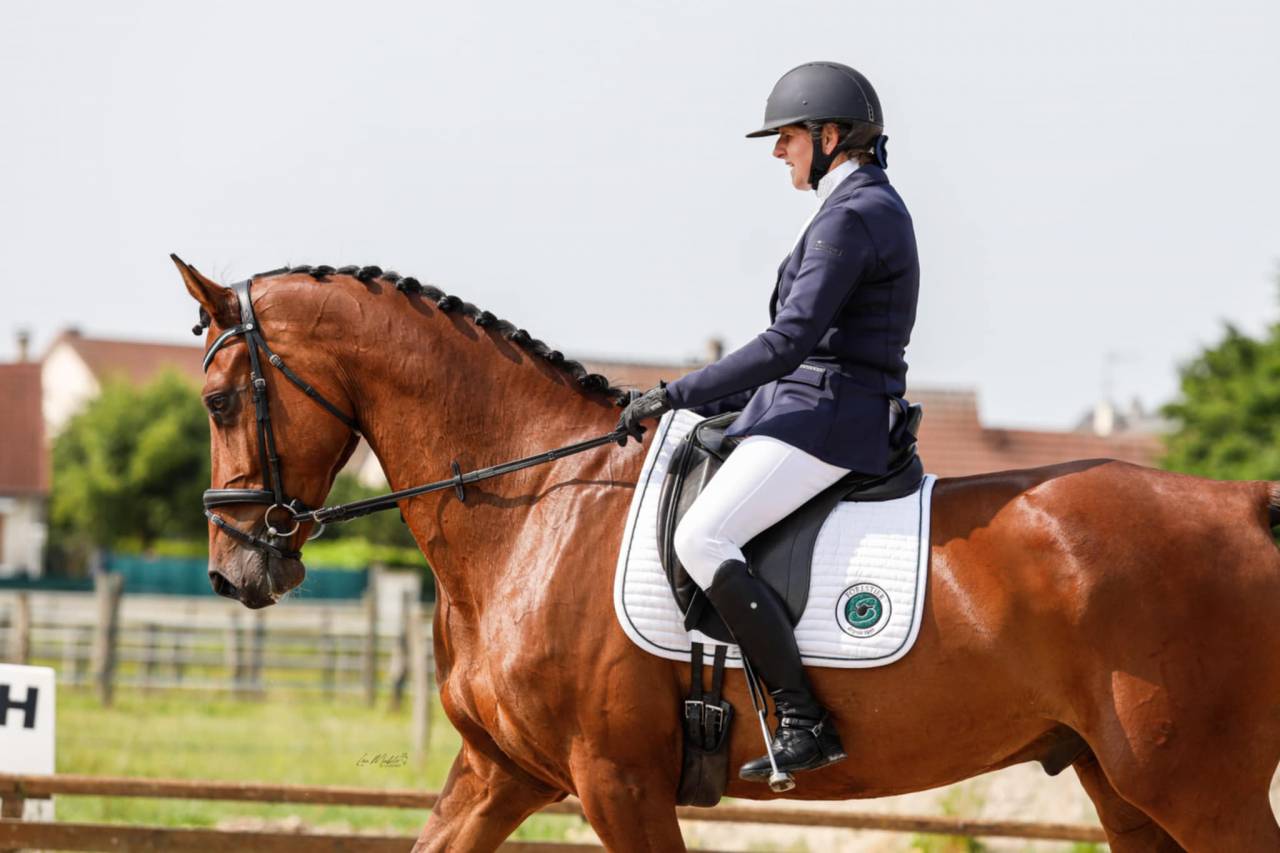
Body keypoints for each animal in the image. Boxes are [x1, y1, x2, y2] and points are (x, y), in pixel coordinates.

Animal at [177, 257, 1280, 851]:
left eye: (221, 400)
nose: (235, 571)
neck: (535, 505)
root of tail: (1244, 503)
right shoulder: (502, 769)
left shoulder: (615, 779)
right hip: (1121, 785)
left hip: (1199, 784)